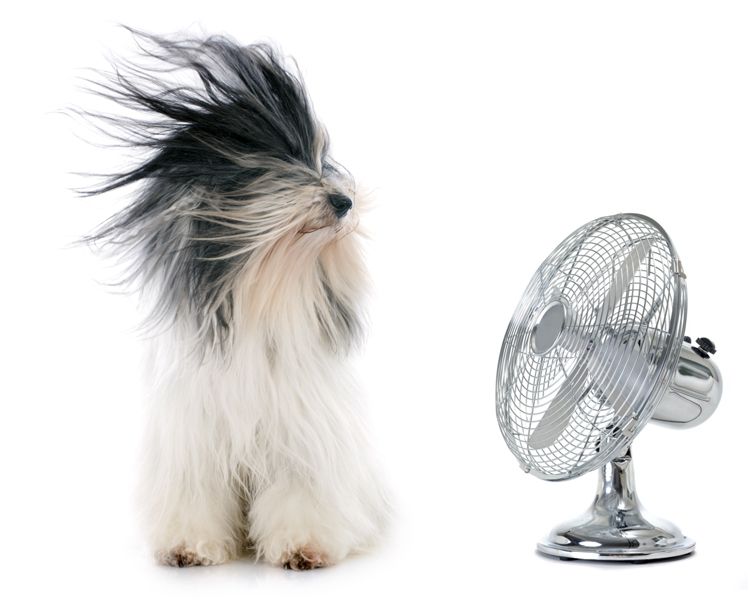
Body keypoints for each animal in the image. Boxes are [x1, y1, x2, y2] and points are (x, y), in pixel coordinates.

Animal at [81, 30, 388, 568]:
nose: (344, 201)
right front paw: (187, 546)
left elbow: (299, 494)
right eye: (284, 160)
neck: (259, 293)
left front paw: (302, 547)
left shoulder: (300, 439)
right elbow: (195, 495)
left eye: (321, 159)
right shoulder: (192, 440)